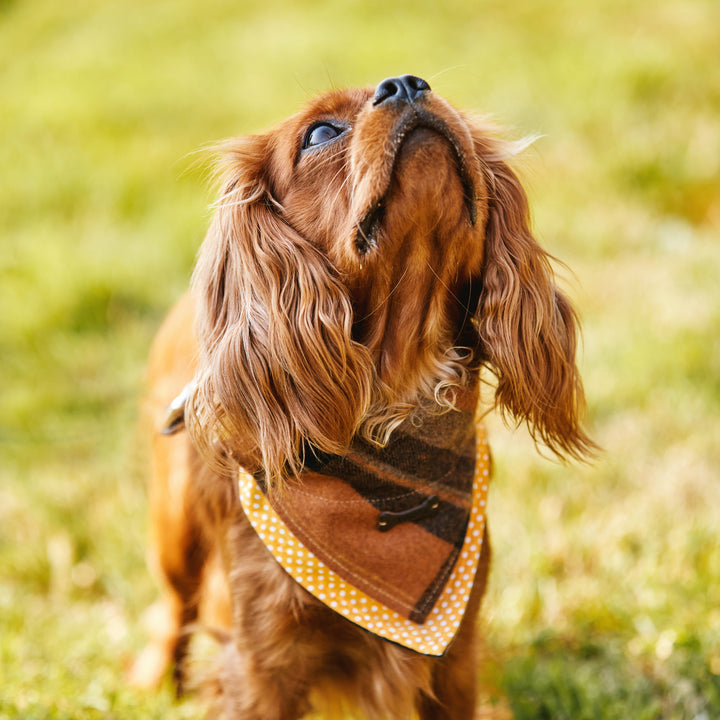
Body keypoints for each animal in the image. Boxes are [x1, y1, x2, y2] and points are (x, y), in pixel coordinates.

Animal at [131, 76, 596, 716]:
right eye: (320, 133)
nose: (408, 83)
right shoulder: (262, 661)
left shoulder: (454, 654)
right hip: (174, 525)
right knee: (174, 606)